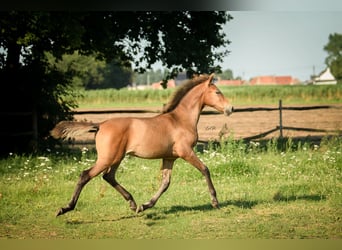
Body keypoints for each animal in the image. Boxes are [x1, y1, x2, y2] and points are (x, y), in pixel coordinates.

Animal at [50, 73, 232, 216]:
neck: (180, 120)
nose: (230, 108)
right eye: (217, 92)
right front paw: (215, 201)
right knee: (85, 175)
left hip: (117, 158)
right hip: (107, 158)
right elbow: (205, 169)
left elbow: (165, 183)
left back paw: (133, 204)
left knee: (108, 176)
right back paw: (65, 208)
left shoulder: (169, 157)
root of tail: (101, 124)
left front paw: (145, 206)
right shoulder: (185, 151)